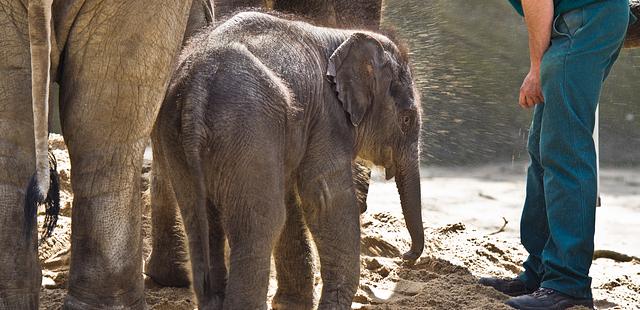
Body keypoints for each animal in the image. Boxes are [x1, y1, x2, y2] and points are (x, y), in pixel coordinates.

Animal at [154, 12, 424, 310]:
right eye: (407, 119)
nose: (406, 255)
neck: (341, 36)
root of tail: (196, 87)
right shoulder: (327, 118)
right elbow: (327, 199)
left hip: (176, 136)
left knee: (199, 218)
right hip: (247, 127)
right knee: (262, 222)